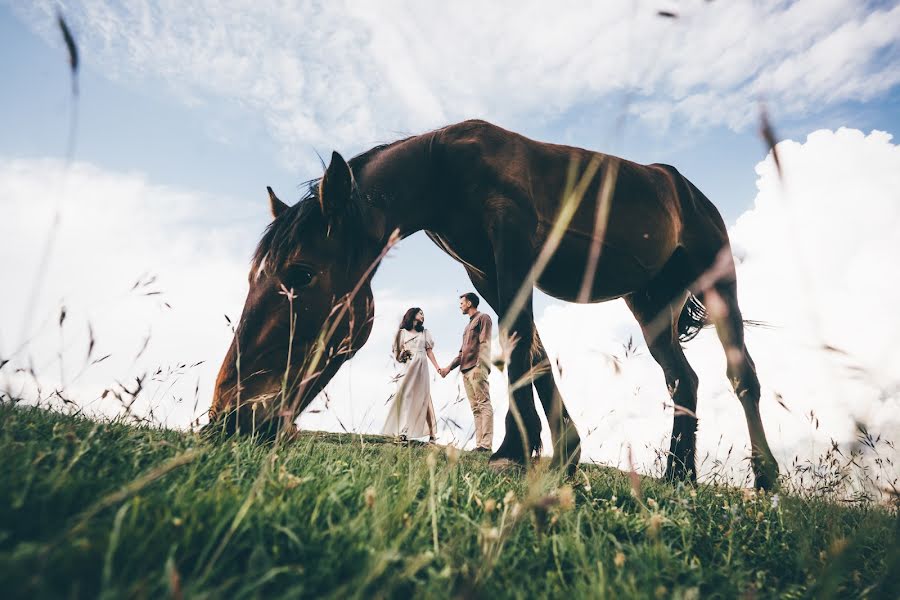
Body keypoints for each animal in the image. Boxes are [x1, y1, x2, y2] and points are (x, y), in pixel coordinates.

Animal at [209, 119, 780, 490]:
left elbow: (519, 347)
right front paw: (556, 451)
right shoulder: (488, 275)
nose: (228, 416)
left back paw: (766, 477)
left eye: (299, 275)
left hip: (719, 284)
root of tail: (684, 189)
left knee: (742, 377)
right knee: (684, 380)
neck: (444, 170)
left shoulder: (514, 249)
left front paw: (515, 451)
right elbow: (533, 357)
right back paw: (679, 476)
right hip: (652, 306)